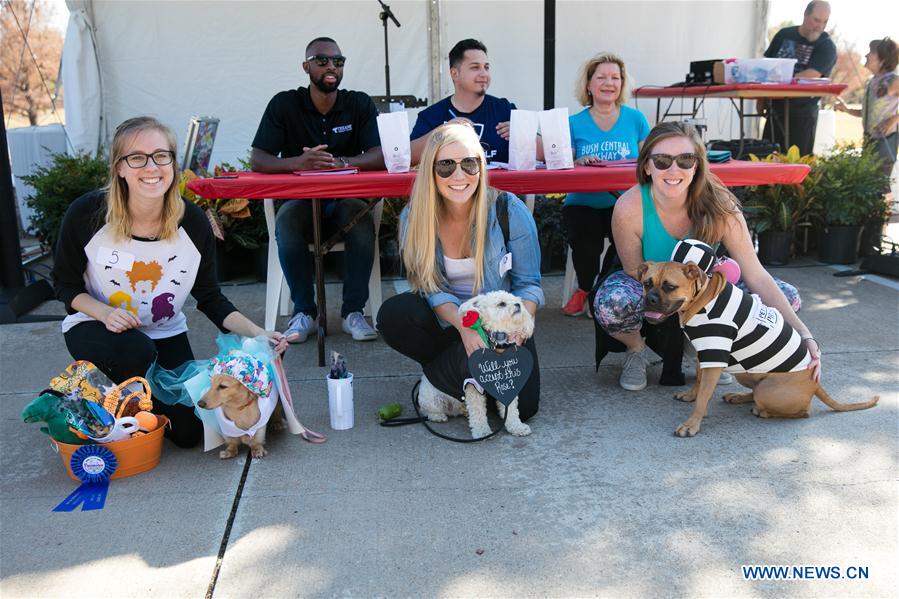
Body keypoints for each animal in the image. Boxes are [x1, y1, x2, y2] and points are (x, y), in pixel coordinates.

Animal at [416, 292, 536, 440]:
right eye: (502, 304)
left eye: (517, 300)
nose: (518, 305)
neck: (495, 345)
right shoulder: (472, 385)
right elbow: (478, 412)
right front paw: (482, 432)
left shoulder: (505, 382)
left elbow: (511, 409)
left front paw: (516, 427)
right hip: (432, 399)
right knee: (427, 410)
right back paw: (437, 416)